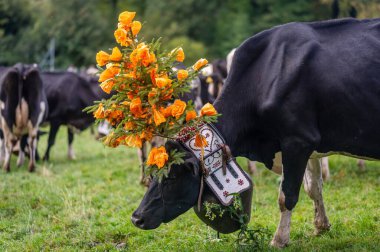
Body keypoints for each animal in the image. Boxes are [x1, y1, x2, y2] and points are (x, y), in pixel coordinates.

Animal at [131, 18, 380, 248]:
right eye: (153, 174)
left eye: (172, 176)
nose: (136, 218)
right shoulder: (310, 146)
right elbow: (314, 188)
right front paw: (321, 226)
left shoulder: (298, 141)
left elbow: (287, 195)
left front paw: (279, 240)